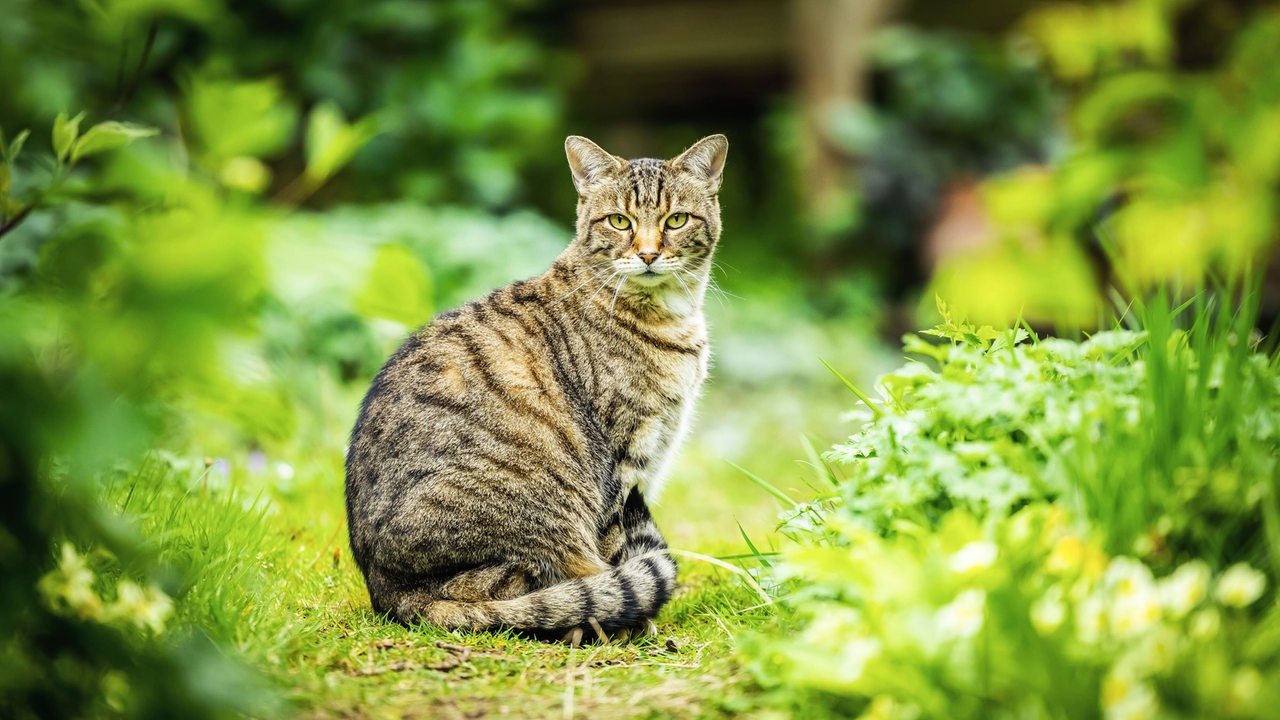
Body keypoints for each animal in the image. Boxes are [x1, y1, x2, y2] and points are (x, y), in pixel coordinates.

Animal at [343, 131, 732, 635]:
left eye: (677, 219)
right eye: (620, 221)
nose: (648, 254)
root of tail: (389, 593)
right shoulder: (621, 465)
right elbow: (617, 548)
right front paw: (634, 623)